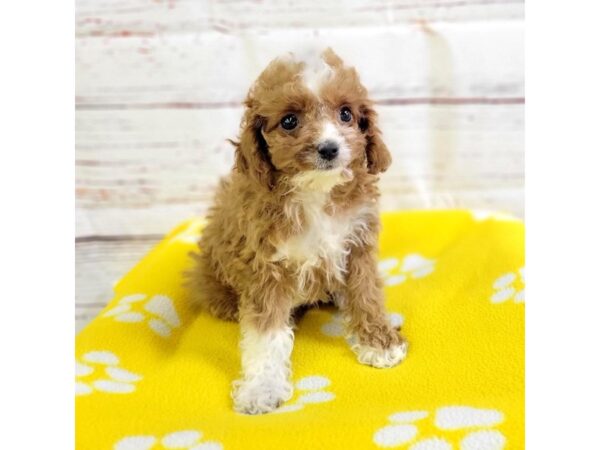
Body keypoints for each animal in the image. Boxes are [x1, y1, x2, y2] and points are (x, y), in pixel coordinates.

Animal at [189, 47, 408, 414]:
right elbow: (265, 334)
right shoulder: (265, 266)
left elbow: (366, 295)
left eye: (346, 114)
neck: (316, 191)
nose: (329, 148)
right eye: (289, 121)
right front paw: (261, 388)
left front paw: (378, 343)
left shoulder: (358, 244)